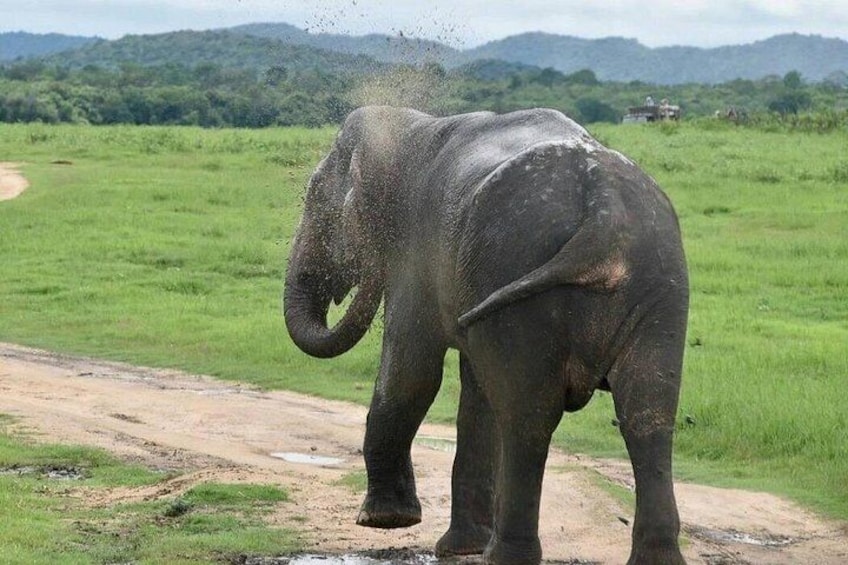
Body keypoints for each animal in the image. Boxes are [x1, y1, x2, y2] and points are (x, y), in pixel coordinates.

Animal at [284, 106, 688, 565]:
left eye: (317, 201)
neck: (413, 127)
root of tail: (605, 211)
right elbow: (475, 397)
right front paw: (458, 548)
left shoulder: (417, 259)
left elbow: (412, 375)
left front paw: (384, 521)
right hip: (660, 287)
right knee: (647, 413)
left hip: (520, 273)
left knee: (528, 415)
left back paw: (503, 555)